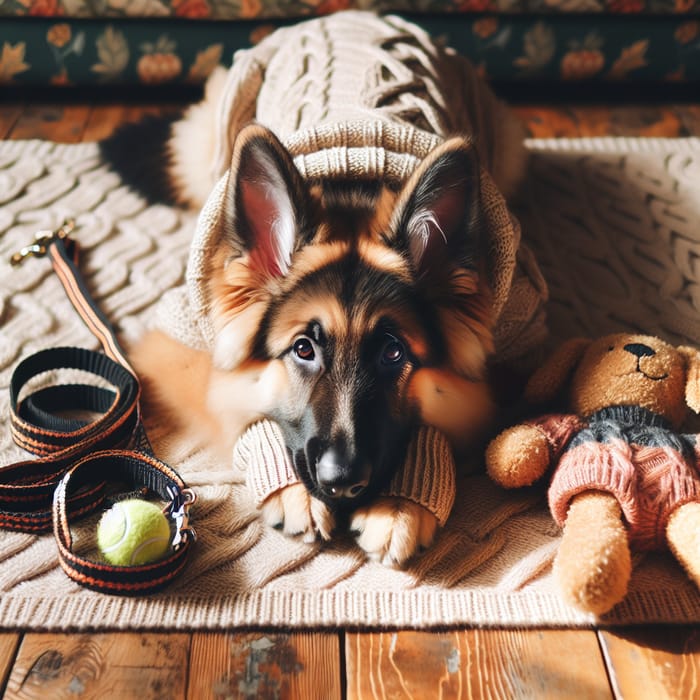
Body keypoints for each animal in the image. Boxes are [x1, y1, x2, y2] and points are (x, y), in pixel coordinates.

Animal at [105, 13, 524, 568]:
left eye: (393, 353)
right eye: (303, 349)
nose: (341, 484)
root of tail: (352, 15)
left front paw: (403, 501)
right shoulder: (176, 348)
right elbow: (232, 402)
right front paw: (291, 489)